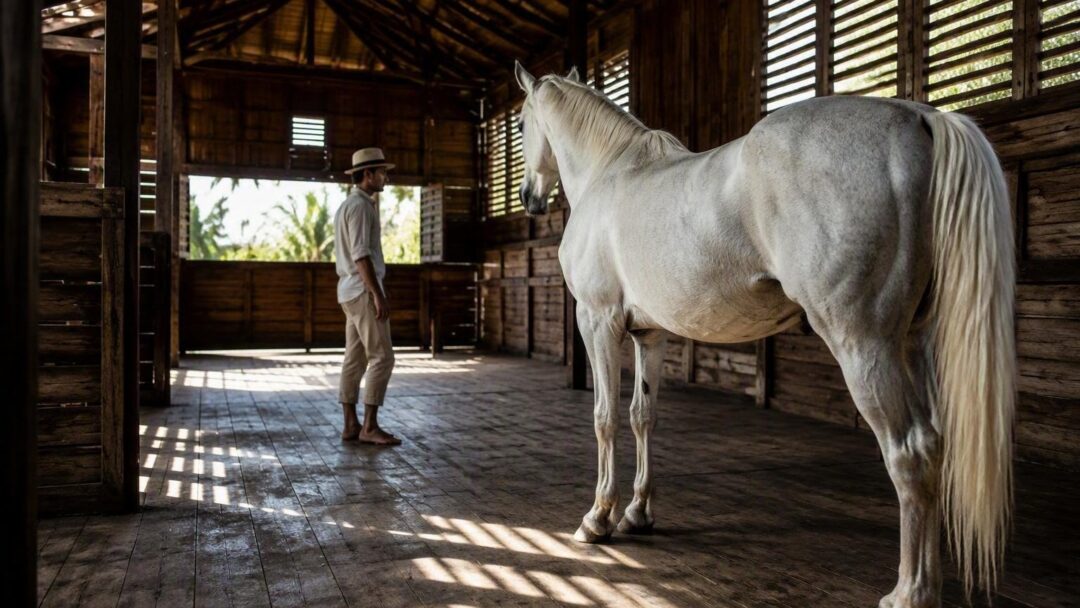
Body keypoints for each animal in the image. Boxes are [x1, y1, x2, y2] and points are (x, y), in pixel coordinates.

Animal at [511, 62, 1015, 608]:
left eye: (519, 124)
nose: (528, 198)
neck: (611, 172)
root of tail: (918, 117)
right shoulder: (651, 336)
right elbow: (643, 417)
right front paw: (638, 514)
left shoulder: (598, 322)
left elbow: (605, 419)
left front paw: (598, 518)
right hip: (913, 343)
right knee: (935, 445)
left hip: (865, 346)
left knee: (910, 453)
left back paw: (910, 591)